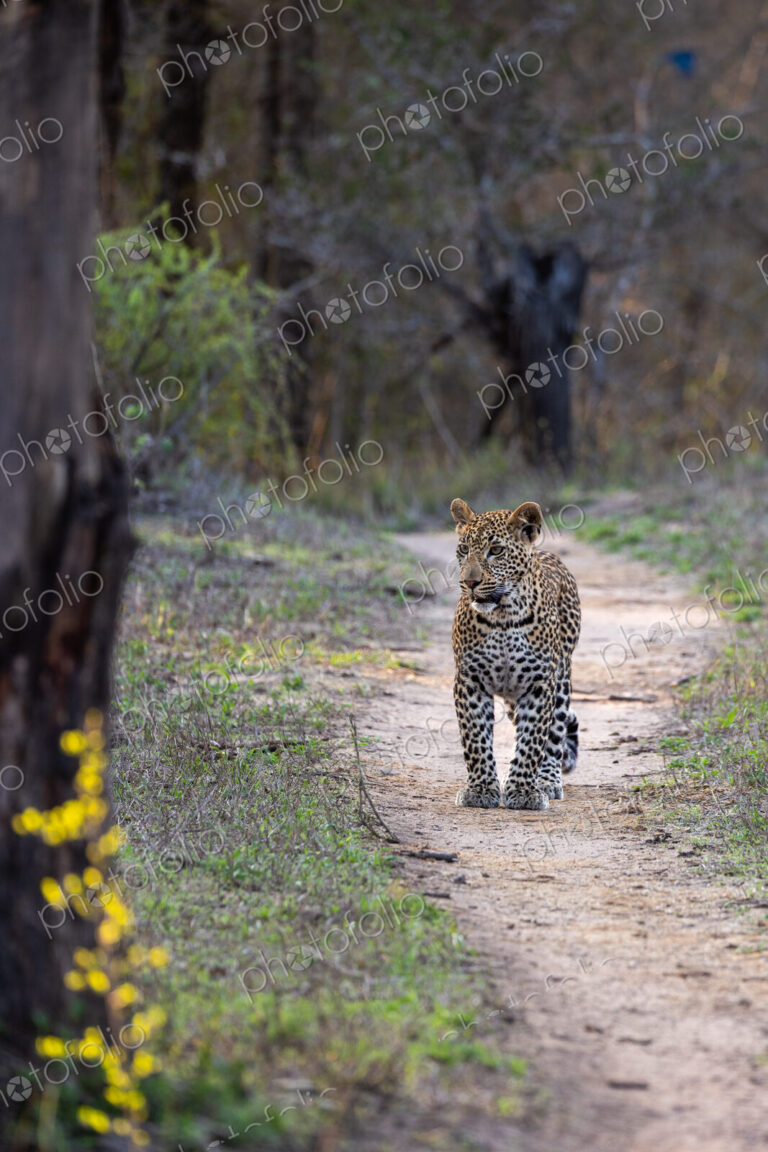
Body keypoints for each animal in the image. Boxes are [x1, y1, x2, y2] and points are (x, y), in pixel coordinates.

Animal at [450, 497, 581, 811]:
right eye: (464, 549)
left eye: (496, 551)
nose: (470, 583)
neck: (502, 616)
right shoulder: (469, 681)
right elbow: (475, 739)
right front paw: (480, 790)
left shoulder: (539, 683)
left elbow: (533, 740)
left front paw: (522, 791)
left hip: (561, 680)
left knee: (554, 735)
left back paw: (547, 780)